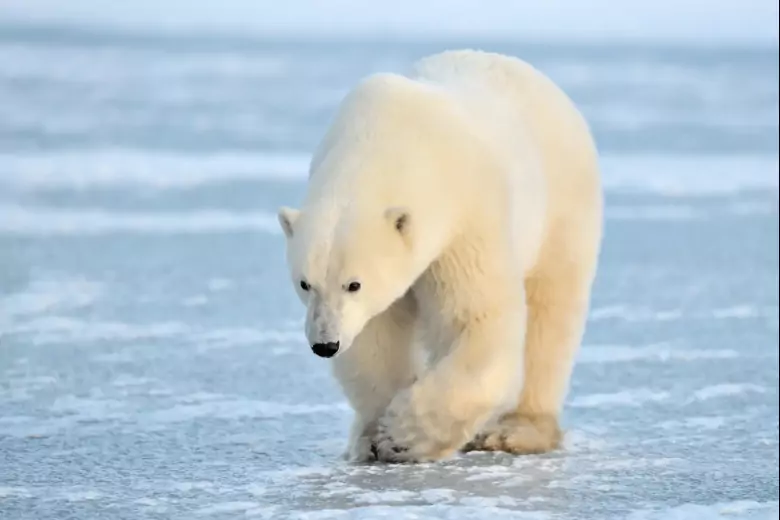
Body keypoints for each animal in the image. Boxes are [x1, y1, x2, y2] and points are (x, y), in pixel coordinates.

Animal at [278, 49, 600, 464]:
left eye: (354, 284)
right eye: (305, 283)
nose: (324, 344)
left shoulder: (466, 219)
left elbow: (476, 319)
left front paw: (403, 434)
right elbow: (374, 337)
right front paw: (375, 436)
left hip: (561, 208)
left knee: (551, 312)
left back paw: (517, 430)